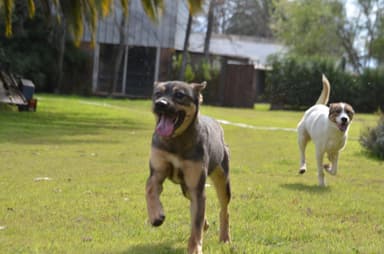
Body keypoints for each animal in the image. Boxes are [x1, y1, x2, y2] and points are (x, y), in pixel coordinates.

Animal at [146, 81, 231, 254]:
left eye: (180, 95)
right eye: (157, 93)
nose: (160, 104)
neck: (177, 140)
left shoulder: (196, 184)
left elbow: (196, 225)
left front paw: (194, 248)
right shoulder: (157, 172)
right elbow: (150, 189)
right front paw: (156, 216)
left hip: (222, 179)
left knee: (224, 210)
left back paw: (224, 238)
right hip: (186, 188)